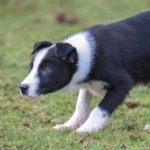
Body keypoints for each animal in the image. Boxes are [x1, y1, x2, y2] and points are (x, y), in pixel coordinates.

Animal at [19, 10, 150, 132]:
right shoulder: (87, 84)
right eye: (31, 67)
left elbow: (100, 109)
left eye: (47, 70)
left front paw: (86, 129)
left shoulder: (122, 83)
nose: (22, 88)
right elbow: (81, 105)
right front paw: (69, 125)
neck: (83, 54)